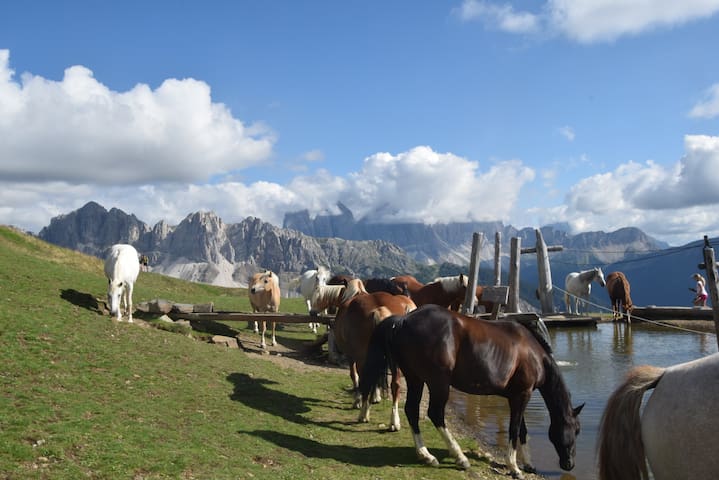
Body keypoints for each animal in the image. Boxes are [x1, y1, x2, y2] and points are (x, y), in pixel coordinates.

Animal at [334, 292, 420, 432]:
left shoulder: (351, 356)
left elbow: (355, 376)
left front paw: (358, 401)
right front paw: (375, 397)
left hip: (363, 358)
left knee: (366, 380)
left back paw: (363, 414)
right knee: (395, 384)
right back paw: (394, 422)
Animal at [360, 304, 584, 476]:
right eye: (576, 429)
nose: (570, 464)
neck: (533, 352)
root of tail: (404, 320)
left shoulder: (517, 396)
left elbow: (522, 430)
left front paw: (528, 464)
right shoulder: (522, 395)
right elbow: (514, 429)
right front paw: (514, 467)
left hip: (416, 380)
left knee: (412, 411)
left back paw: (426, 455)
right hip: (438, 384)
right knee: (435, 414)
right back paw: (460, 457)